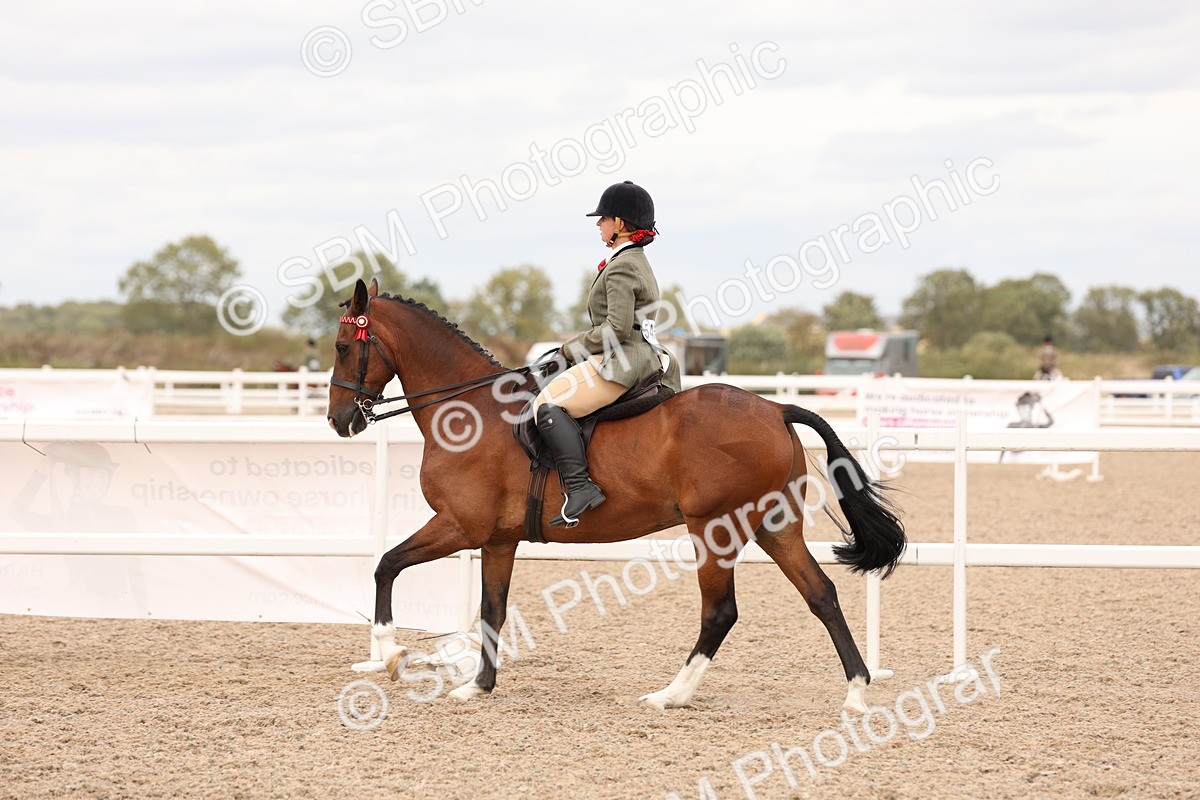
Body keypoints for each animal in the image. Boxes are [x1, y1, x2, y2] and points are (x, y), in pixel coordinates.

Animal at [326, 278, 906, 713]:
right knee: (821, 594)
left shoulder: (459, 526)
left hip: (716, 529)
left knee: (721, 611)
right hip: (773, 526)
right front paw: (478, 685)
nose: (339, 421)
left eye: (341, 347)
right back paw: (856, 692)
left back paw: (671, 695)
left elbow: (386, 564)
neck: (470, 413)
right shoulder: (496, 539)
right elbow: (492, 608)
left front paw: (391, 655)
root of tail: (775, 408)